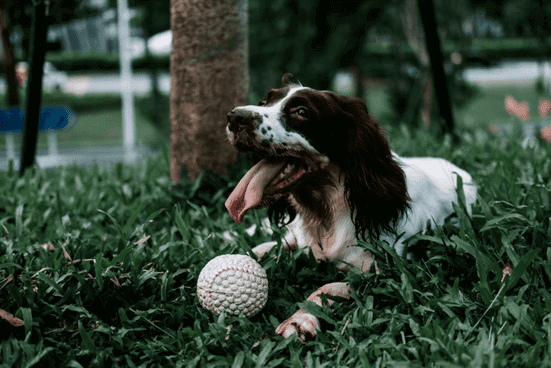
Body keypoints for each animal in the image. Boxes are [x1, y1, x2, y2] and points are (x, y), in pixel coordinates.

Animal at [224, 73, 478, 344]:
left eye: (301, 111)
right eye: (264, 102)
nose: (234, 117)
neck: (326, 213)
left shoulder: (384, 270)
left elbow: (329, 287)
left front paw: (300, 319)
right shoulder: (298, 242)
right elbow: (259, 249)